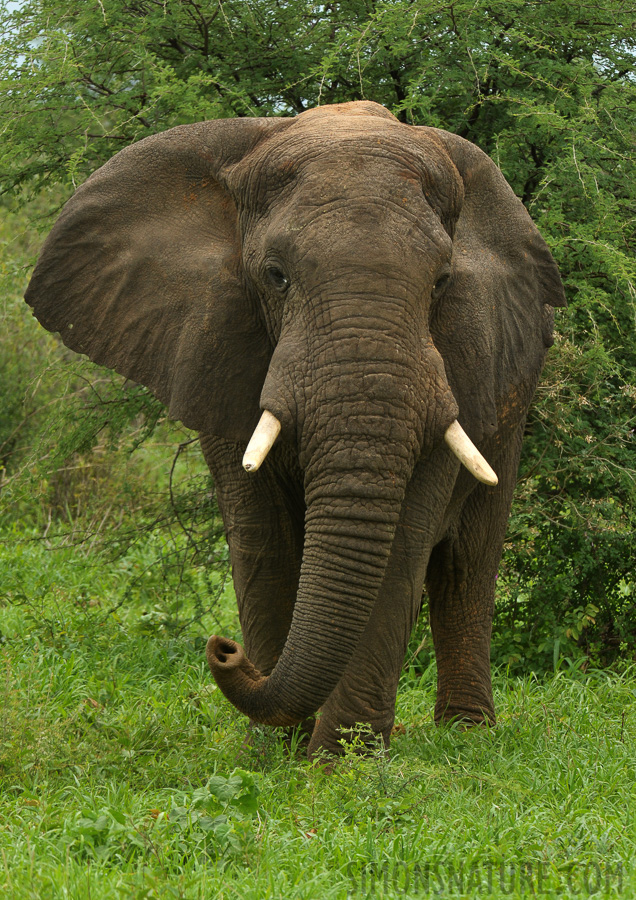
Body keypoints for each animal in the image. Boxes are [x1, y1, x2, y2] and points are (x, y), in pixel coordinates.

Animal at [24, 98, 564, 760]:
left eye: (441, 283)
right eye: (276, 275)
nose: (222, 648)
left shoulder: (458, 363)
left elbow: (401, 544)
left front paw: (340, 764)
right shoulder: (221, 344)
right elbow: (264, 536)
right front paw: (275, 756)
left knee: (468, 564)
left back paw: (467, 735)